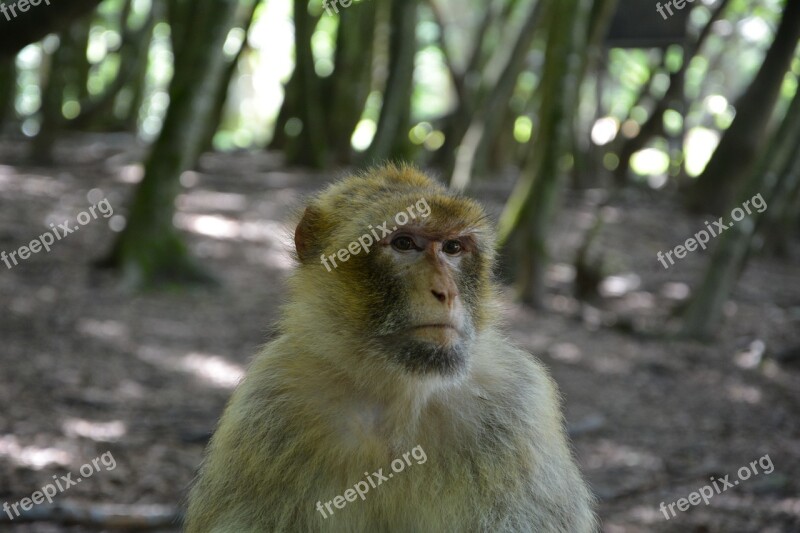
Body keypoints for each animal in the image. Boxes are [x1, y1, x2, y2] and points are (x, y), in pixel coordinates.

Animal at [184, 164, 596, 528]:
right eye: (403, 243)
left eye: (453, 247)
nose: (445, 292)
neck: (398, 389)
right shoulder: (267, 405)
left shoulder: (517, 406)